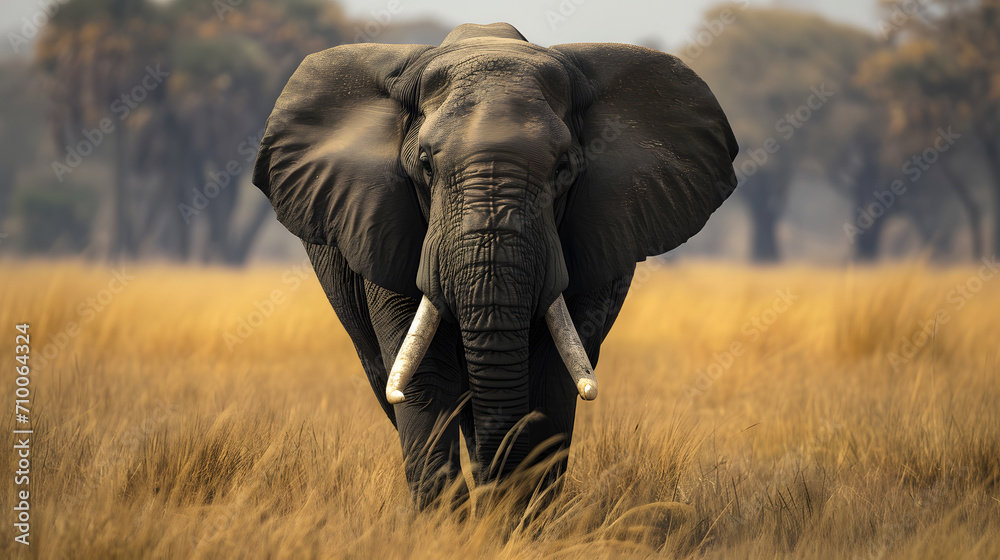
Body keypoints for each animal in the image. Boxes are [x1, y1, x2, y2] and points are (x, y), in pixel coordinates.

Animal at [252, 22, 738, 508]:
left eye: (563, 169)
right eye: (425, 166)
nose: (495, 503)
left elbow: (551, 375)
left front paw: (518, 516)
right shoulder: (384, 225)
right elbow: (424, 378)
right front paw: (450, 522)